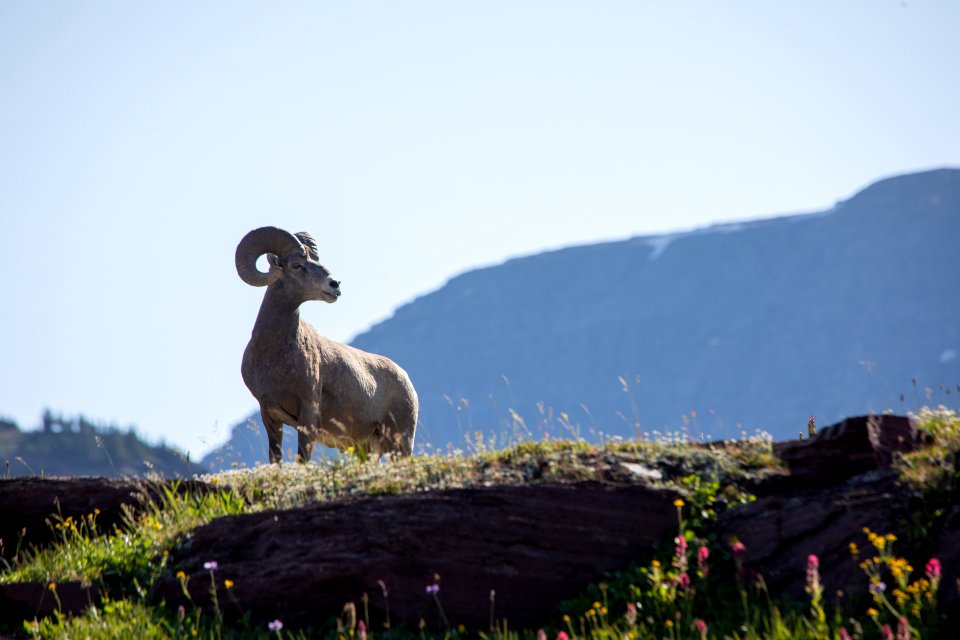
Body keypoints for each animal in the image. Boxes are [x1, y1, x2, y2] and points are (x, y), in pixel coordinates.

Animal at [235, 225, 416, 460]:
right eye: (296, 265)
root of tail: (406, 379)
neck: (274, 354)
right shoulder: (269, 416)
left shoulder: (308, 411)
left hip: (400, 443)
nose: (335, 285)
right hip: (368, 448)